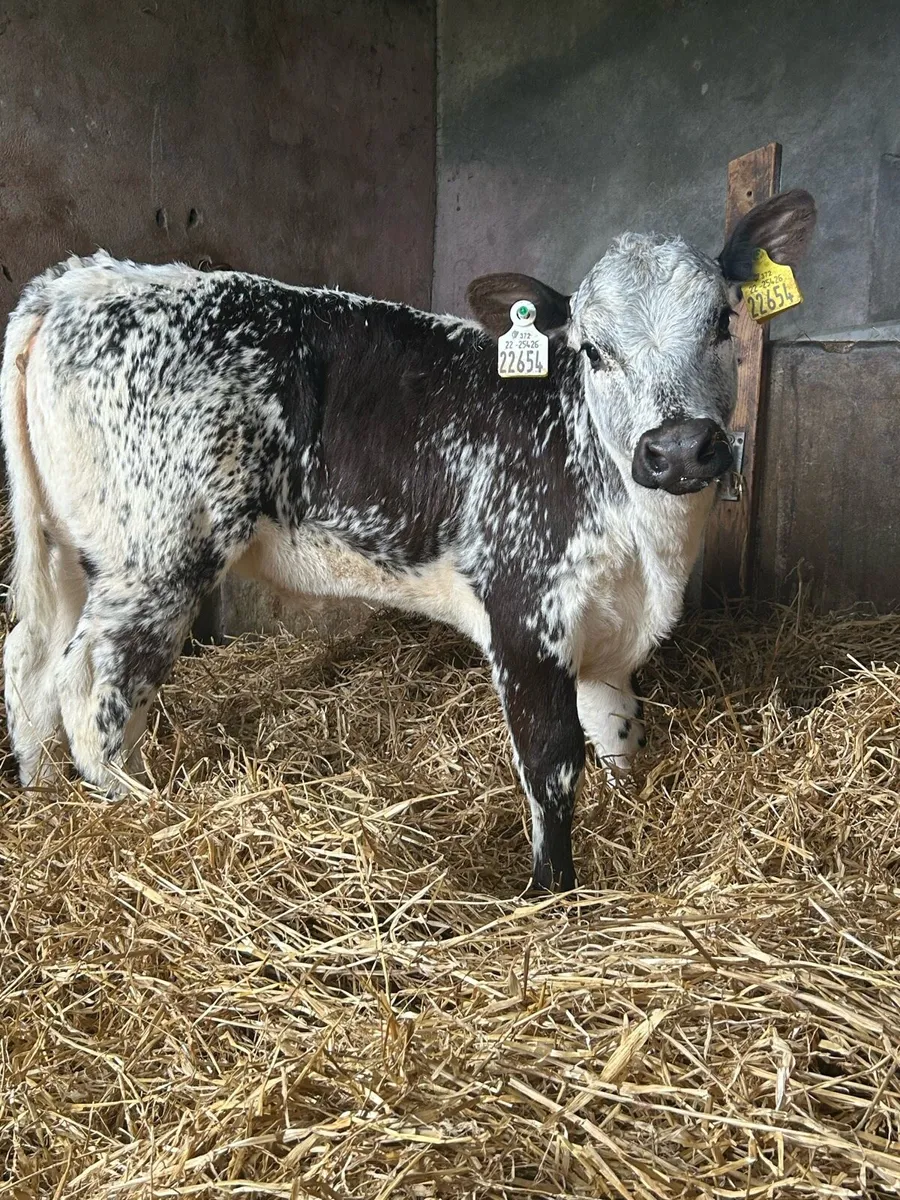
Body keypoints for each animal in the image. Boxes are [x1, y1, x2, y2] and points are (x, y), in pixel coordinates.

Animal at [1, 189, 815, 892]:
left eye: (722, 323)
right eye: (593, 350)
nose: (677, 450)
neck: (649, 550)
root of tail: (84, 280)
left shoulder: (604, 626)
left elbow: (617, 733)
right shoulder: (526, 610)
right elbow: (553, 763)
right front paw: (552, 892)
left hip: (72, 548)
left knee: (30, 661)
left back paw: (43, 794)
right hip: (158, 553)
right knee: (91, 683)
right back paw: (142, 807)